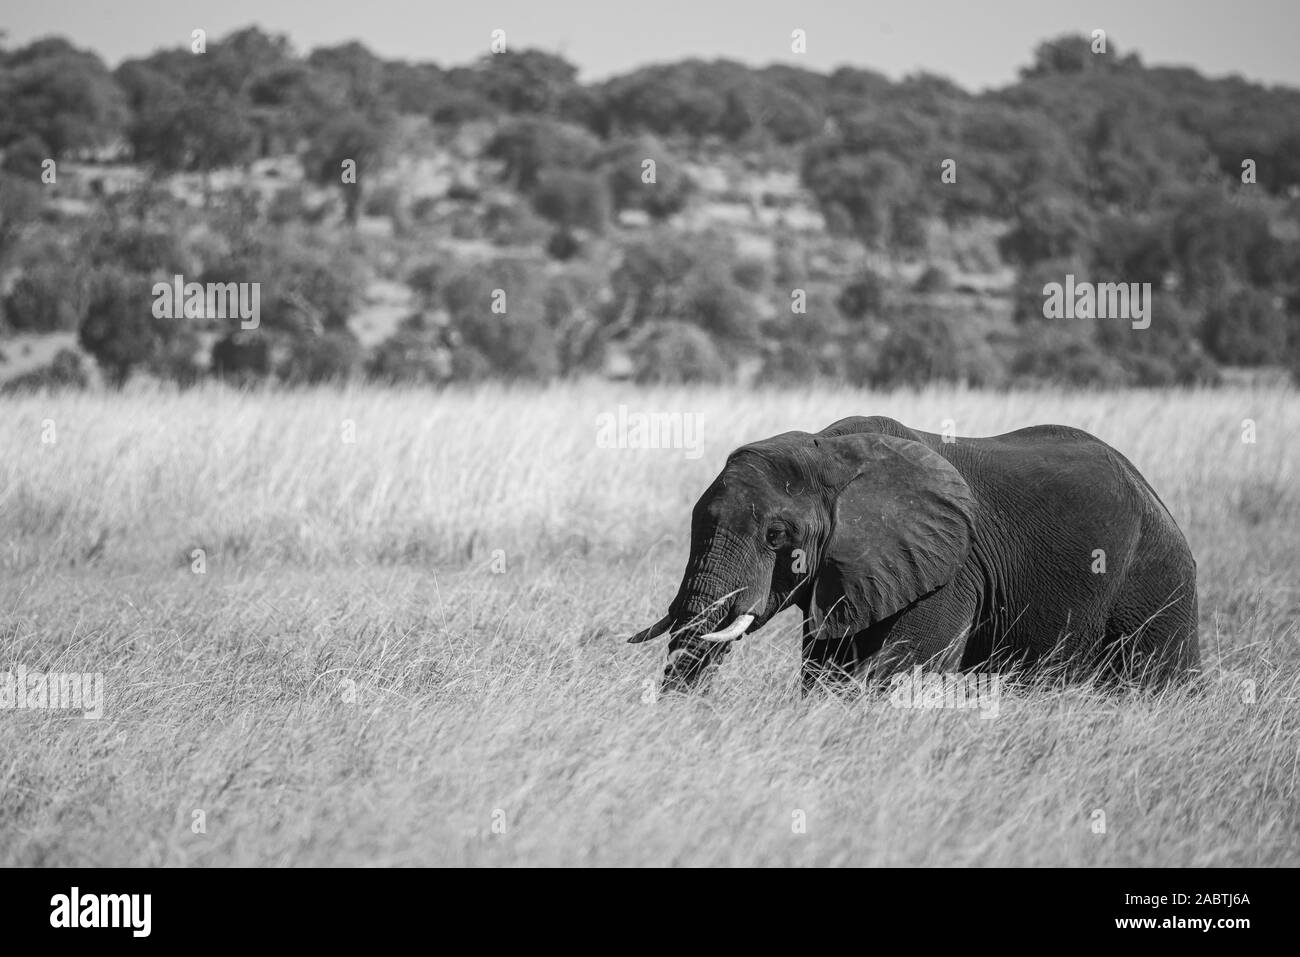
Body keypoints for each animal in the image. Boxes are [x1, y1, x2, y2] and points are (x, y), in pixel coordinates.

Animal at [629, 416, 1196, 691]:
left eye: (775, 536)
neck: (828, 450)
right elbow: (826, 669)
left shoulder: (954, 567)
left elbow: (902, 667)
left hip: (1156, 578)